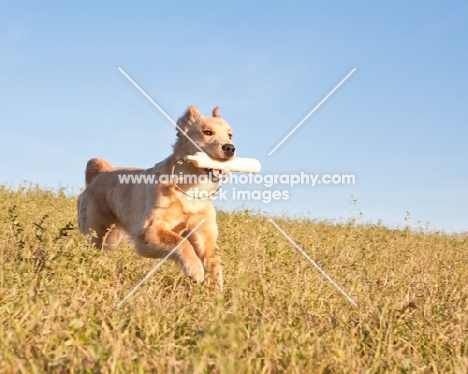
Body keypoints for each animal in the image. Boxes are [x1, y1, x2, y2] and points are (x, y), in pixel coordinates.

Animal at [78, 106, 236, 290]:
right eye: (207, 132)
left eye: (230, 135)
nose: (230, 148)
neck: (191, 186)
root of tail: (100, 173)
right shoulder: (148, 230)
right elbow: (181, 241)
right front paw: (195, 269)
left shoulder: (205, 234)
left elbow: (214, 261)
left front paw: (216, 291)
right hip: (97, 233)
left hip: (111, 237)